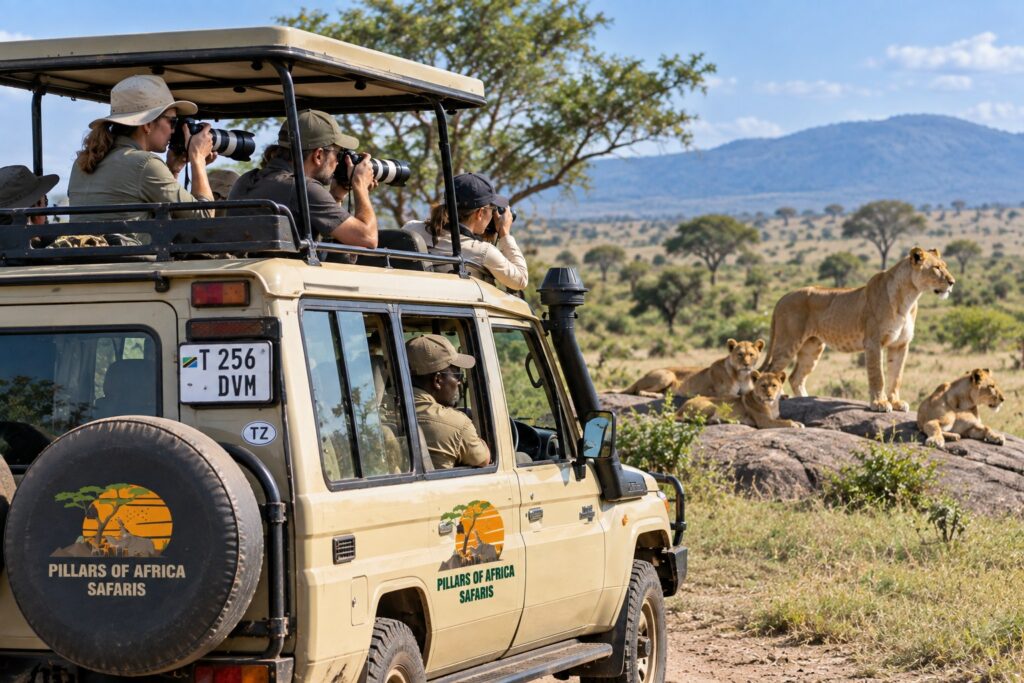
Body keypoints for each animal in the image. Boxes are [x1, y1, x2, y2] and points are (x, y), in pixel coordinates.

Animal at [619, 339, 764, 398]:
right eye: (740, 354)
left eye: (751, 355)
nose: (746, 364)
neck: (742, 376)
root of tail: (641, 377)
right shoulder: (722, 393)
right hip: (667, 375)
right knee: (639, 390)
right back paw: (655, 395)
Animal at [761, 247, 955, 413]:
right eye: (937, 268)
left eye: (945, 266)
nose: (952, 282)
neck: (909, 297)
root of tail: (783, 297)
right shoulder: (874, 342)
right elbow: (878, 375)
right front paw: (879, 403)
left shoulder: (900, 344)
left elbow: (896, 376)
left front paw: (896, 402)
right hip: (788, 342)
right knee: (771, 370)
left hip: (812, 347)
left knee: (796, 377)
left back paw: (805, 400)